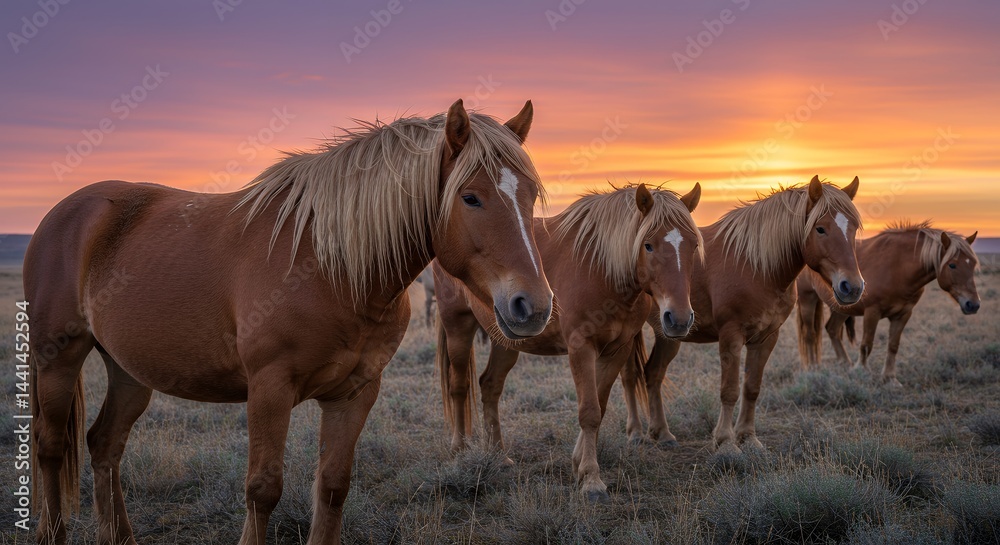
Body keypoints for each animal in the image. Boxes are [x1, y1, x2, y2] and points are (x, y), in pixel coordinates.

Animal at [24, 99, 553, 545]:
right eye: (470, 197)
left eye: (530, 195)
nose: (533, 306)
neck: (330, 267)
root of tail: (62, 214)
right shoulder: (269, 388)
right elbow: (263, 489)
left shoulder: (356, 391)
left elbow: (334, 485)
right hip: (59, 359)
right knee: (51, 445)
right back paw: (52, 533)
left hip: (130, 371)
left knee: (104, 444)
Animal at [435, 183, 702, 501]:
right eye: (648, 245)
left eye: (693, 245)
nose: (680, 318)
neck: (600, 269)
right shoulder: (580, 347)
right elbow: (588, 411)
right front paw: (591, 480)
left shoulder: (617, 350)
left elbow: (599, 405)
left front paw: (578, 464)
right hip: (458, 327)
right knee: (459, 387)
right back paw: (459, 450)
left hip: (506, 339)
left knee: (490, 385)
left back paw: (499, 456)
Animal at [620, 176, 864, 454]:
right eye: (820, 229)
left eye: (853, 228)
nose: (852, 287)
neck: (755, 267)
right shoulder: (731, 336)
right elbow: (730, 390)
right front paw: (725, 440)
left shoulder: (766, 338)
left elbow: (751, 388)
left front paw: (747, 437)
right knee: (630, 377)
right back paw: (636, 433)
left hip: (669, 334)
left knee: (653, 374)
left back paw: (662, 433)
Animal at [796, 220, 980, 386]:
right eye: (952, 265)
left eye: (972, 265)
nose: (973, 304)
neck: (898, 268)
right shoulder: (872, 312)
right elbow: (866, 344)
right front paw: (861, 370)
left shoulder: (903, 314)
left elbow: (893, 345)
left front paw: (889, 378)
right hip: (807, 298)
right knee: (810, 333)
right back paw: (813, 368)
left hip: (841, 307)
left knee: (832, 329)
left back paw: (844, 363)